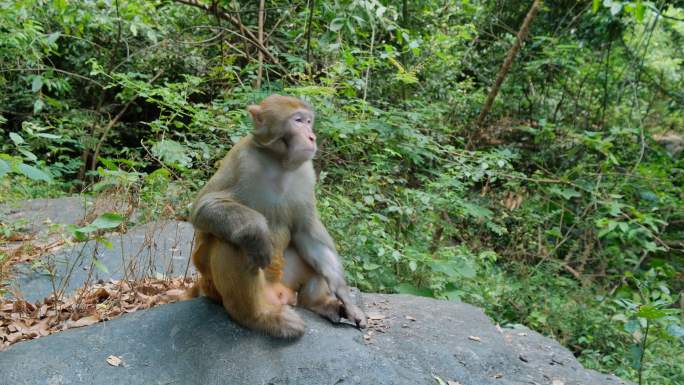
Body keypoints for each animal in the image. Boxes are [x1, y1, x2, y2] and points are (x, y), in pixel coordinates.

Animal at [190, 93, 366, 336]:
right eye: (297, 121)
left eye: (309, 121)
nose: (312, 137)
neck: (278, 162)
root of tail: (277, 294)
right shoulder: (241, 158)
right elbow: (204, 206)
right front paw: (257, 231)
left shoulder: (306, 173)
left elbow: (306, 231)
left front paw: (346, 299)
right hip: (217, 289)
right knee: (233, 244)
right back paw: (258, 317)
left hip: (286, 280)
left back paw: (319, 303)